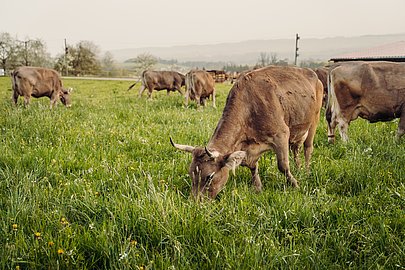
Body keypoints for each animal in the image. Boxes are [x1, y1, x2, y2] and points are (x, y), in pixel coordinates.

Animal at [170, 65, 322, 198]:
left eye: (209, 177)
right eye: (191, 174)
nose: (195, 202)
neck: (250, 106)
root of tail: (312, 73)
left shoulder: (281, 134)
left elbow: (283, 165)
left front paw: (295, 185)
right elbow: (253, 166)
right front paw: (258, 187)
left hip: (314, 119)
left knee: (307, 148)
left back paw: (306, 170)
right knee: (295, 149)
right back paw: (298, 168)